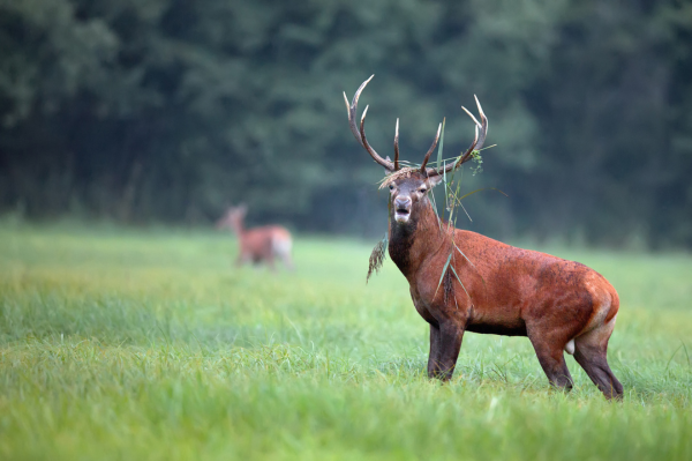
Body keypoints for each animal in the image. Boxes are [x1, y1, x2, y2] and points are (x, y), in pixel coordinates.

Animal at [344, 75, 624, 399]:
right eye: (391, 186)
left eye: (422, 190)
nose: (402, 204)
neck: (422, 263)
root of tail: (610, 296)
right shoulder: (433, 319)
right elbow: (430, 372)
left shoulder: (455, 312)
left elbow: (444, 373)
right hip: (594, 338)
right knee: (614, 386)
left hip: (547, 329)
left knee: (563, 382)